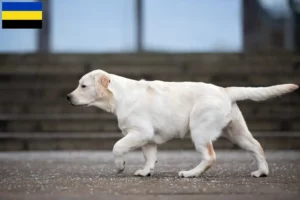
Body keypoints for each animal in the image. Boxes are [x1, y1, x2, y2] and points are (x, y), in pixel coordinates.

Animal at [67, 69, 298, 177]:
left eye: (83, 86)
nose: (68, 97)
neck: (119, 95)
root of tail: (225, 90)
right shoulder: (148, 138)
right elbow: (149, 157)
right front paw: (146, 171)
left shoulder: (140, 132)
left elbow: (117, 146)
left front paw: (120, 166)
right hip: (236, 132)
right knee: (256, 146)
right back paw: (262, 172)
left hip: (199, 131)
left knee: (210, 157)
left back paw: (190, 173)